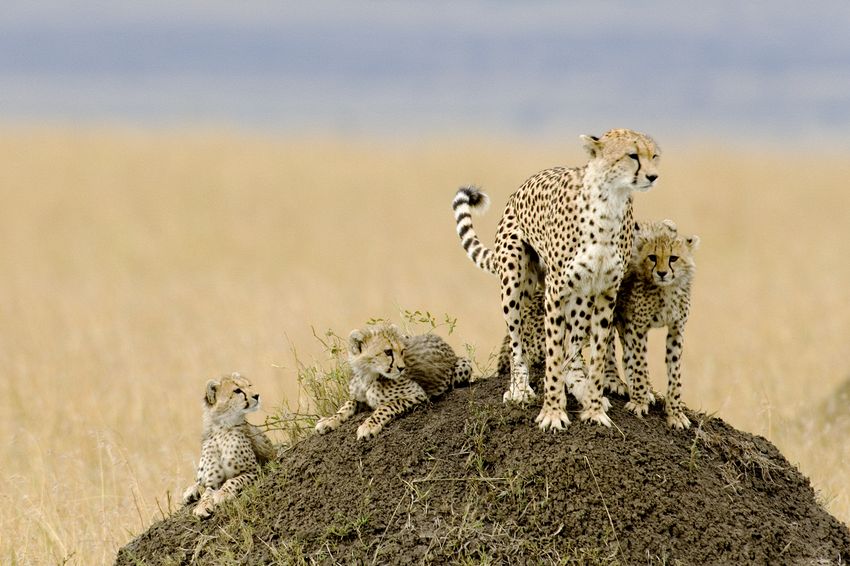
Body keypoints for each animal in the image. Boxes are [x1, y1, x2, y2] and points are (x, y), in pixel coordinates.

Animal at [182, 372, 276, 519]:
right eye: (237, 390)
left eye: (249, 386)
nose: (257, 395)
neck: (222, 428)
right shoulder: (212, 482)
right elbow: (207, 493)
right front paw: (202, 506)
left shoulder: (255, 471)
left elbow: (233, 481)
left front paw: (222, 494)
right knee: (198, 482)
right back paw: (190, 492)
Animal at [315, 323, 474, 440]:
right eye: (388, 352)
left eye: (402, 351)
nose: (402, 368)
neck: (368, 376)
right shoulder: (359, 397)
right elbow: (348, 404)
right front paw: (329, 420)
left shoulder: (417, 394)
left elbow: (386, 406)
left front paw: (368, 426)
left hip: (464, 364)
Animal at [452, 128, 660, 430]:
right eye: (632, 156)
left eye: (654, 156)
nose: (653, 176)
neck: (609, 204)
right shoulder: (555, 292)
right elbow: (552, 356)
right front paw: (552, 412)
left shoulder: (605, 292)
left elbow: (596, 354)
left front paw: (594, 409)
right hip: (515, 278)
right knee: (517, 340)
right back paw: (519, 388)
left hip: (581, 295)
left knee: (573, 348)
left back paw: (578, 384)